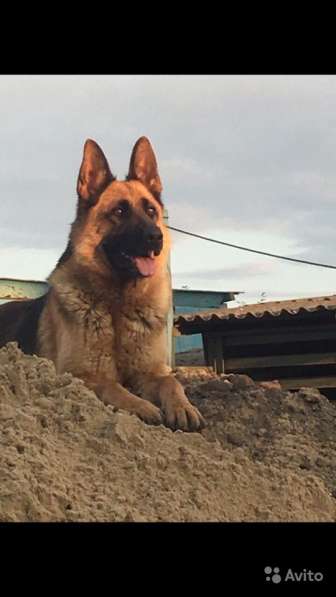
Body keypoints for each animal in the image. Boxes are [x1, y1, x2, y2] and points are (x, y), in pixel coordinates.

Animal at [0, 137, 206, 430]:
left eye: (151, 211)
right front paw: (143, 407)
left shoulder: (150, 371)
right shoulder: (78, 375)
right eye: (119, 211)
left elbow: (171, 381)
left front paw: (183, 407)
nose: (156, 237)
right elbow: (112, 387)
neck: (118, 304)